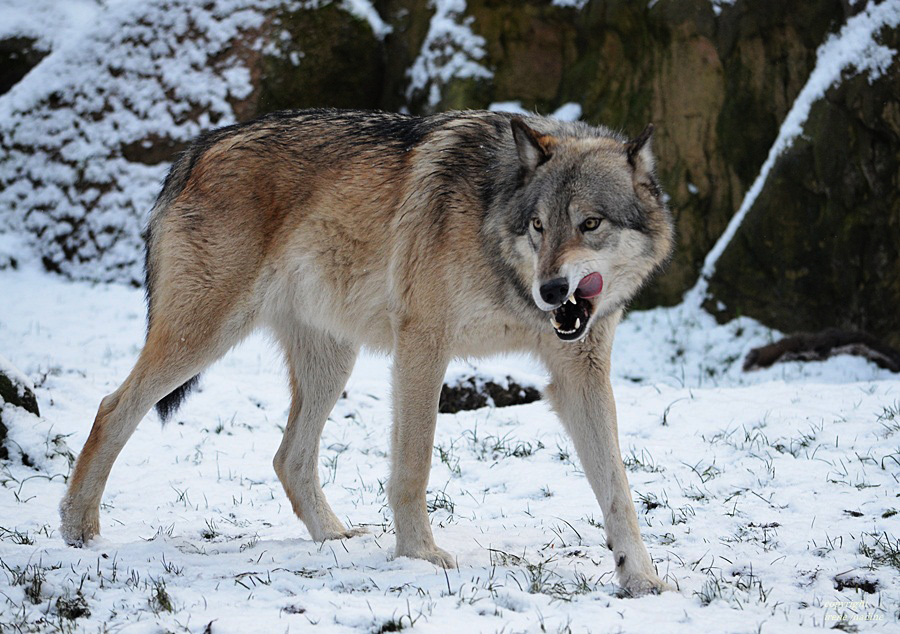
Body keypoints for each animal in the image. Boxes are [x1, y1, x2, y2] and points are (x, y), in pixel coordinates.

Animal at [58, 107, 676, 592]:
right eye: (538, 227)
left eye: (589, 224)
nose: (550, 290)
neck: (494, 237)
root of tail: (199, 148)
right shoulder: (423, 345)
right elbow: (414, 465)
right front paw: (420, 556)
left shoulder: (579, 374)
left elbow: (618, 488)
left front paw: (641, 578)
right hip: (204, 336)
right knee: (112, 408)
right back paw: (77, 528)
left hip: (333, 363)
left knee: (288, 457)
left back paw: (333, 538)